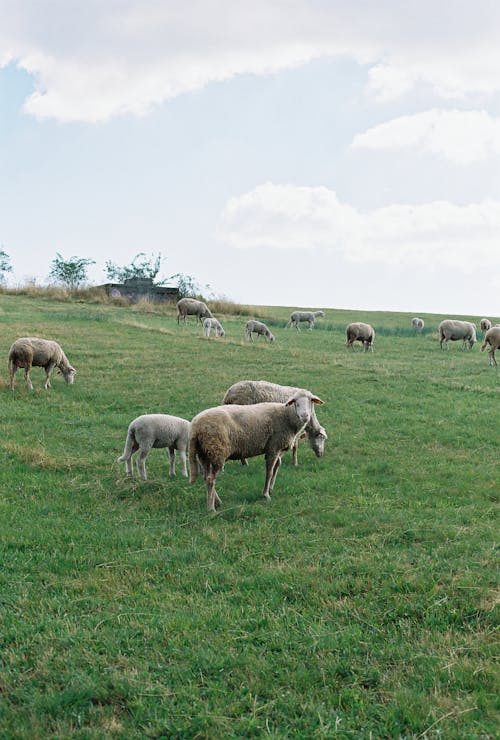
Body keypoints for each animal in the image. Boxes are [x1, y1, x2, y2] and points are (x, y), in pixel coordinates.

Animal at [188, 390, 324, 512]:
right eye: (296, 402)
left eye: (311, 401)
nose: (305, 416)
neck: (287, 416)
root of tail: (195, 426)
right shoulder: (273, 447)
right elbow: (269, 471)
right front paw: (266, 494)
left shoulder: (276, 448)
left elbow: (276, 466)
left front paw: (270, 488)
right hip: (217, 451)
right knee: (210, 479)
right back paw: (211, 508)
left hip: (205, 453)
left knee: (206, 477)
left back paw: (217, 502)